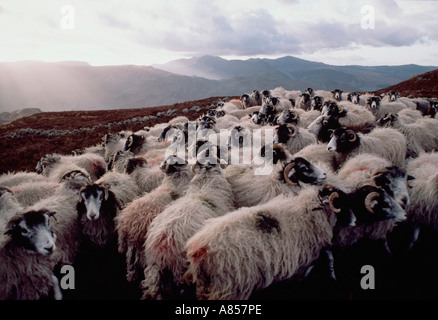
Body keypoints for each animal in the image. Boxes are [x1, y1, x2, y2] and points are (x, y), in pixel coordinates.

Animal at [183, 182, 402, 300]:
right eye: (344, 202)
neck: (314, 211)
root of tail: (198, 248)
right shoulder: (300, 267)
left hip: (205, 285)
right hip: (228, 288)